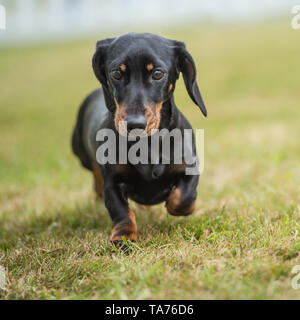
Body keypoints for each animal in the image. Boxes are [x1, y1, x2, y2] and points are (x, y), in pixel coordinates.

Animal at [72, 32, 206, 244]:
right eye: (116, 74)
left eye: (157, 73)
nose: (135, 124)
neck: (148, 144)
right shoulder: (113, 181)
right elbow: (121, 212)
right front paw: (123, 238)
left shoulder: (189, 167)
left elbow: (180, 199)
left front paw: (189, 204)